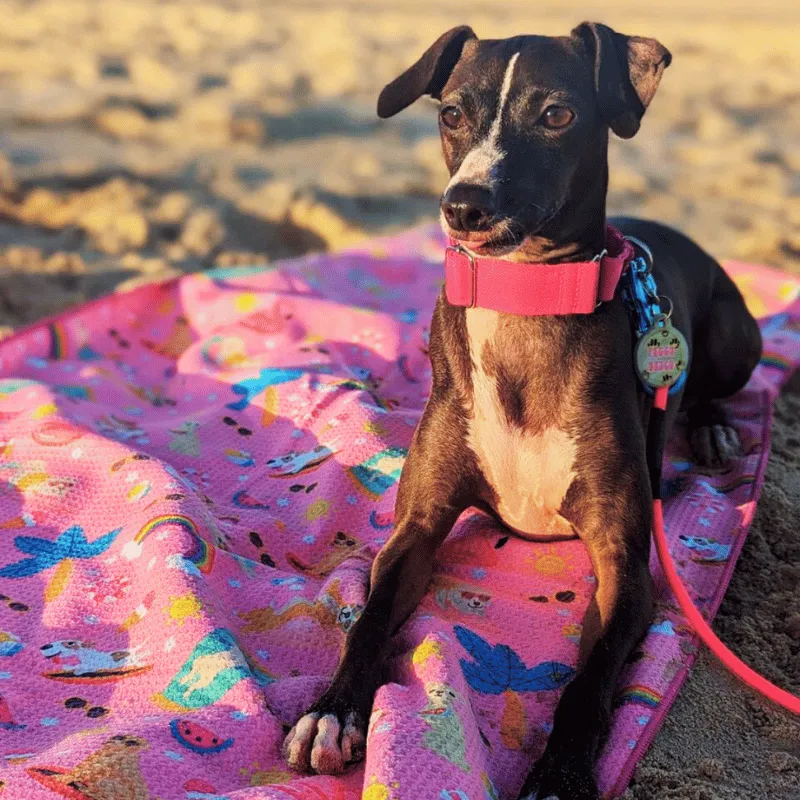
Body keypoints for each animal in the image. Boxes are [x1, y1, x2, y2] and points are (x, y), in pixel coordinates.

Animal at [282, 21, 764, 796]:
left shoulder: (624, 564)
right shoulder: (417, 528)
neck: (524, 305)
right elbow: (370, 615)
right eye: (451, 113)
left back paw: (714, 429)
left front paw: (561, 770)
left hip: (729, 337)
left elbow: (589, 679)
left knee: (718, 387)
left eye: (557, 114)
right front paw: (332, 711)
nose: (464, 206)